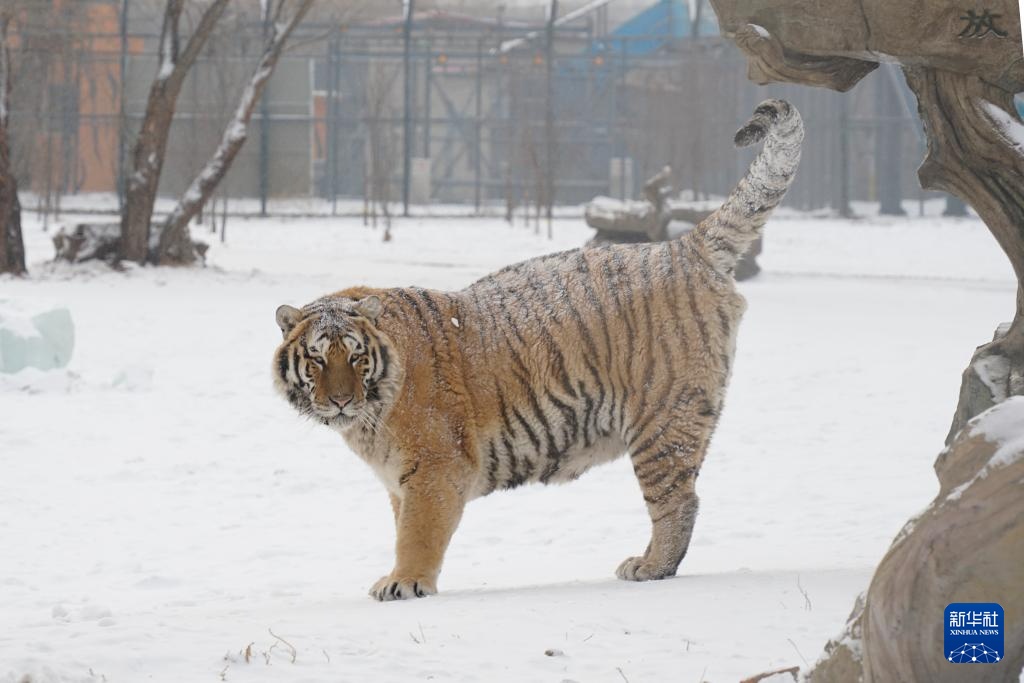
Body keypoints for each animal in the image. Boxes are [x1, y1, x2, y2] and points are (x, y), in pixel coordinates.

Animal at [273, 99, 803, 601]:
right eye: (317, 358)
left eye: (355, 356)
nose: (341, 399)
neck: (370, 415)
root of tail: (682, 246)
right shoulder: (399, 480)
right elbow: (403, 525)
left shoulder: (434, 469)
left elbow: (417, 534)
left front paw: (404, 583)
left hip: (663, 421)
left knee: (678, 501)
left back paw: (651, 567)